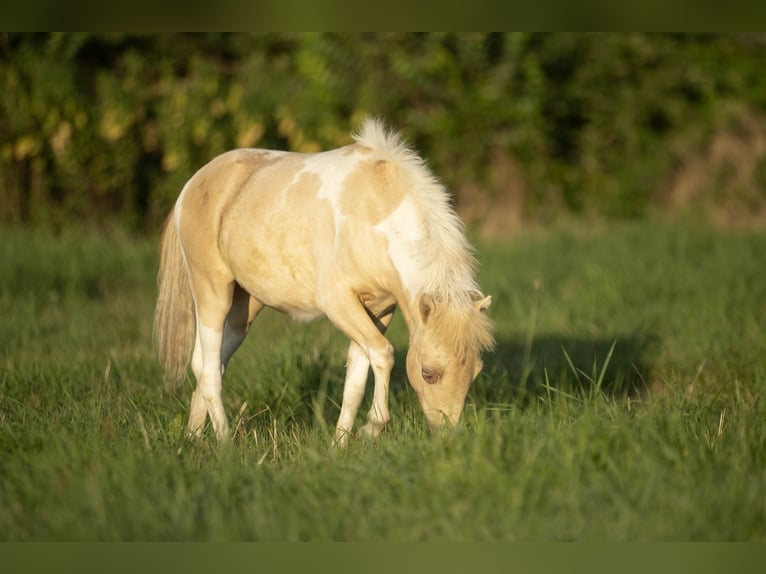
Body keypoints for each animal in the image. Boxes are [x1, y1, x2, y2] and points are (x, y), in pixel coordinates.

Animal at [153, 117, 496, 446]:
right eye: (428, 374)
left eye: (474, 372)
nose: (447, 436)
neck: (376, 218)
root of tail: (192, 185)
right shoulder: (338, 303)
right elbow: (384, 355)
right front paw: (372, 428)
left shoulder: (378, 310)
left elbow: (356, 381)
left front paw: (340, 445)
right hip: (212, 293)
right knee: (209, 369)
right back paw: (225, 443)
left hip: (243, 310)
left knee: (207, 364)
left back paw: (193, 438)